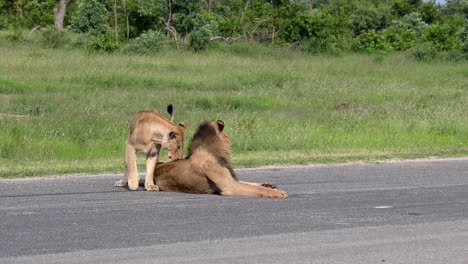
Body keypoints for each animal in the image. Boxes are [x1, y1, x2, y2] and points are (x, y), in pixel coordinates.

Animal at [152, 119, 288, 198]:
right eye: (227, 135)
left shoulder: (232, 180)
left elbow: (251, 183)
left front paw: (269, 186)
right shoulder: (230, 187)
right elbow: (256, 188)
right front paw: (279, 193)